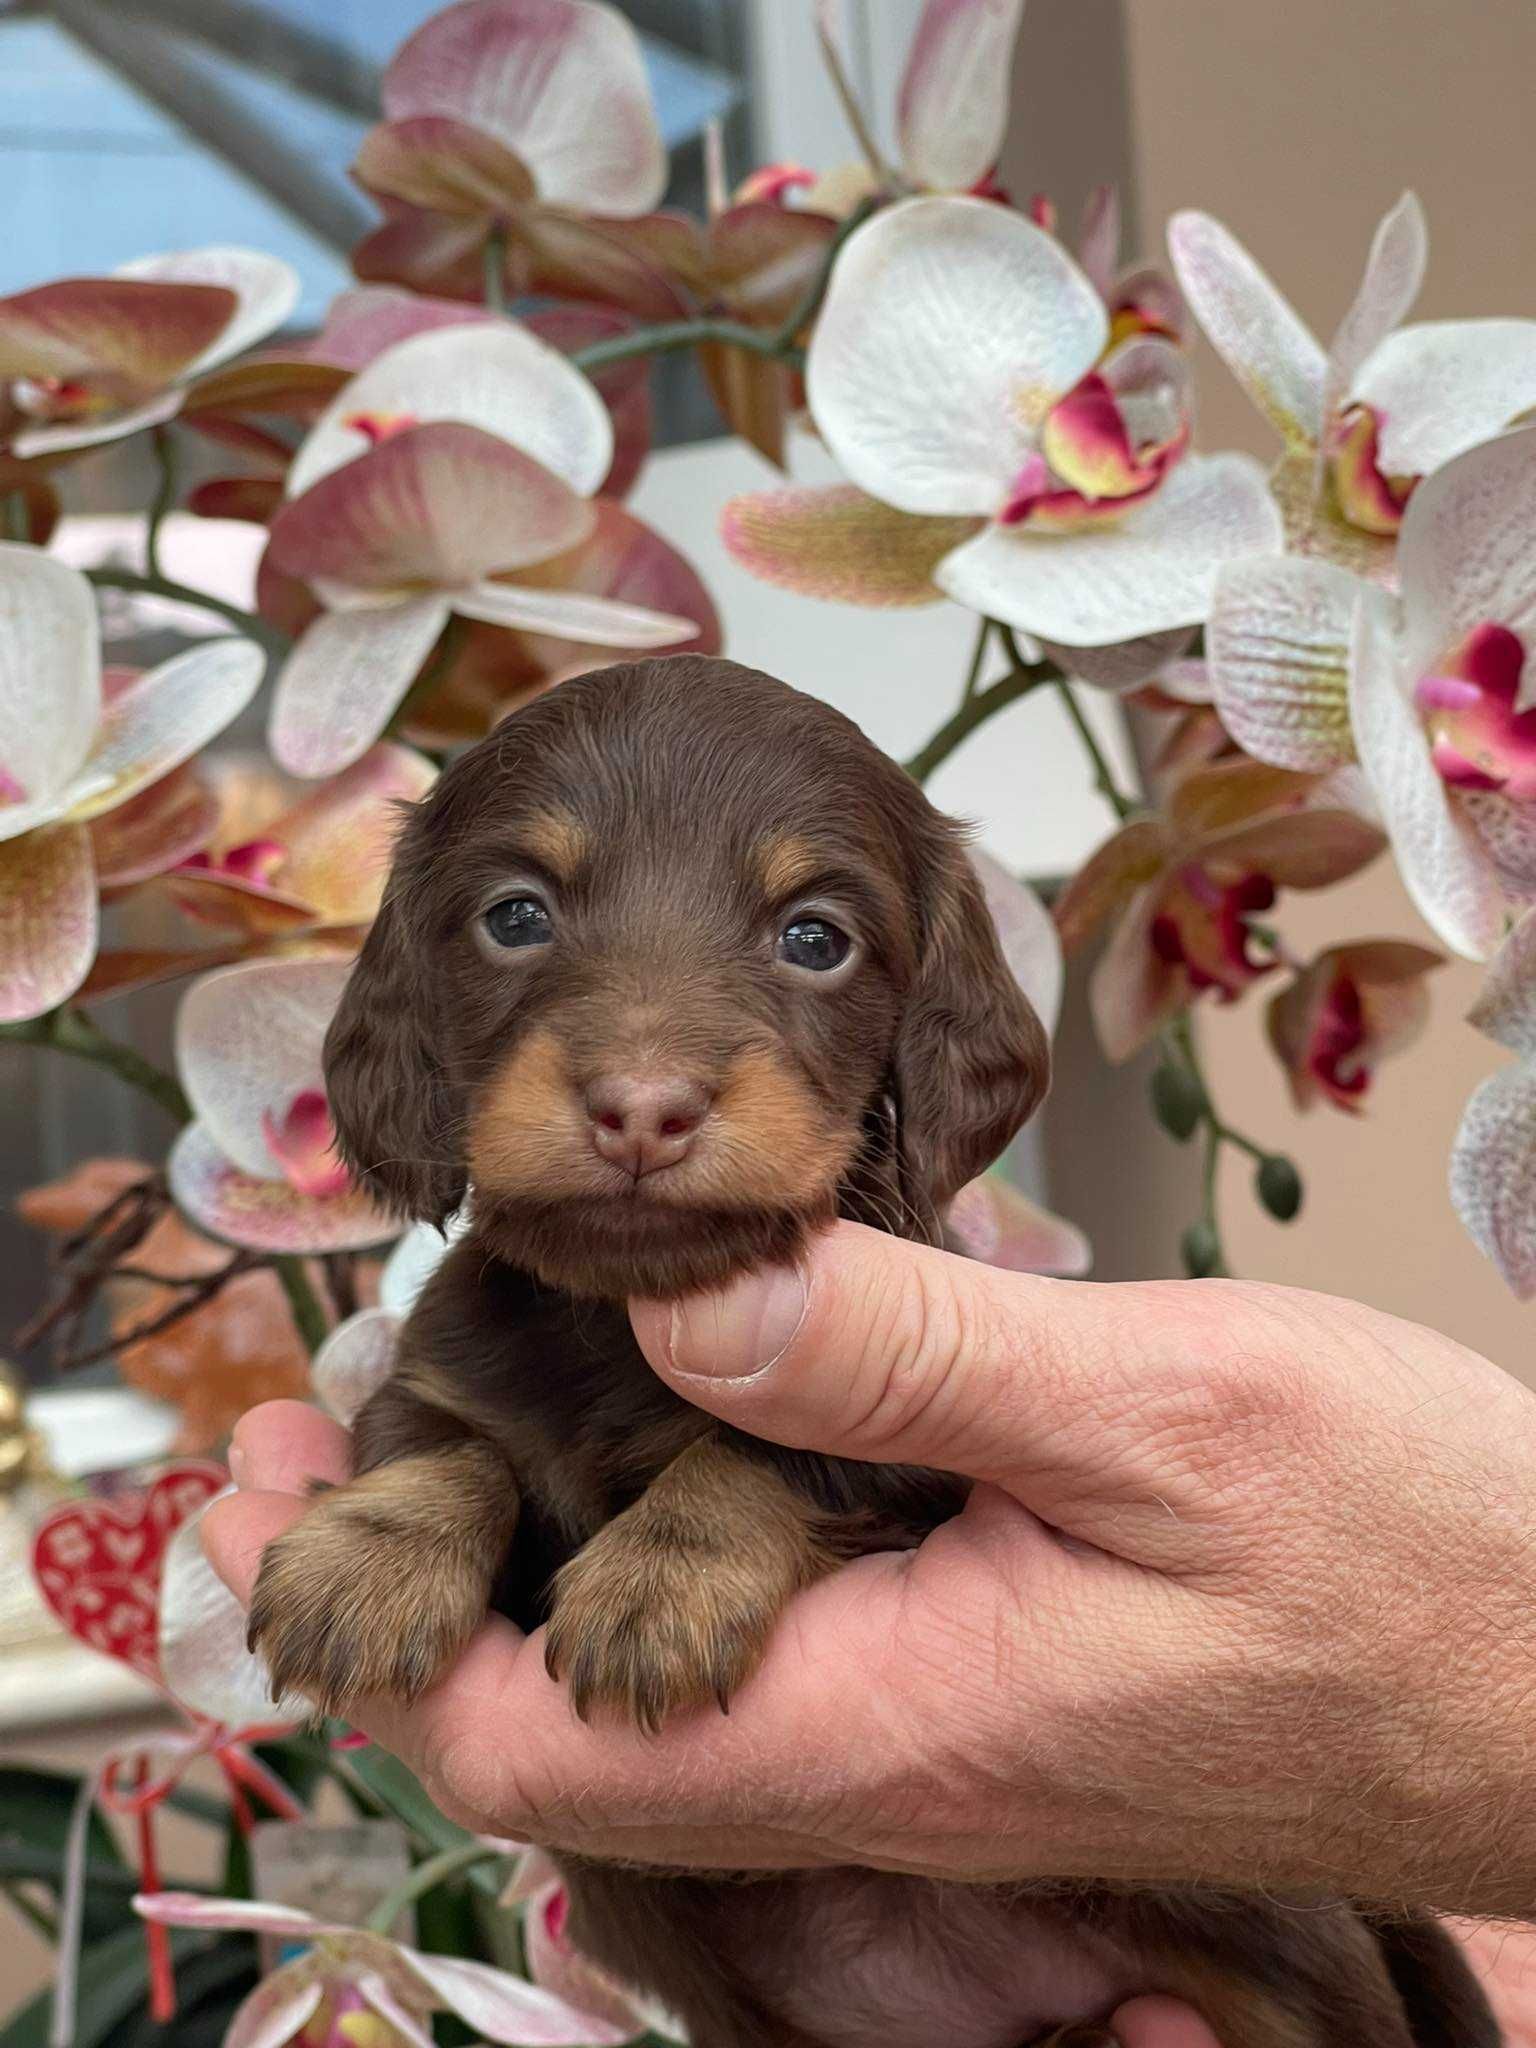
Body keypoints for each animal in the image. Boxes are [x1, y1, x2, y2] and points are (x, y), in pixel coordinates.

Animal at [243, 659, 1507, 2048]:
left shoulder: (918, 1472)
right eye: (515, 916)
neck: (621, 1311)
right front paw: (366, 1563)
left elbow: (771, 1453)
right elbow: (443, 1448)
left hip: (1259, 1922)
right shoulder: (438, 1372)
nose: (642, 1108)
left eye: (814, 937)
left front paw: (661, 1580)